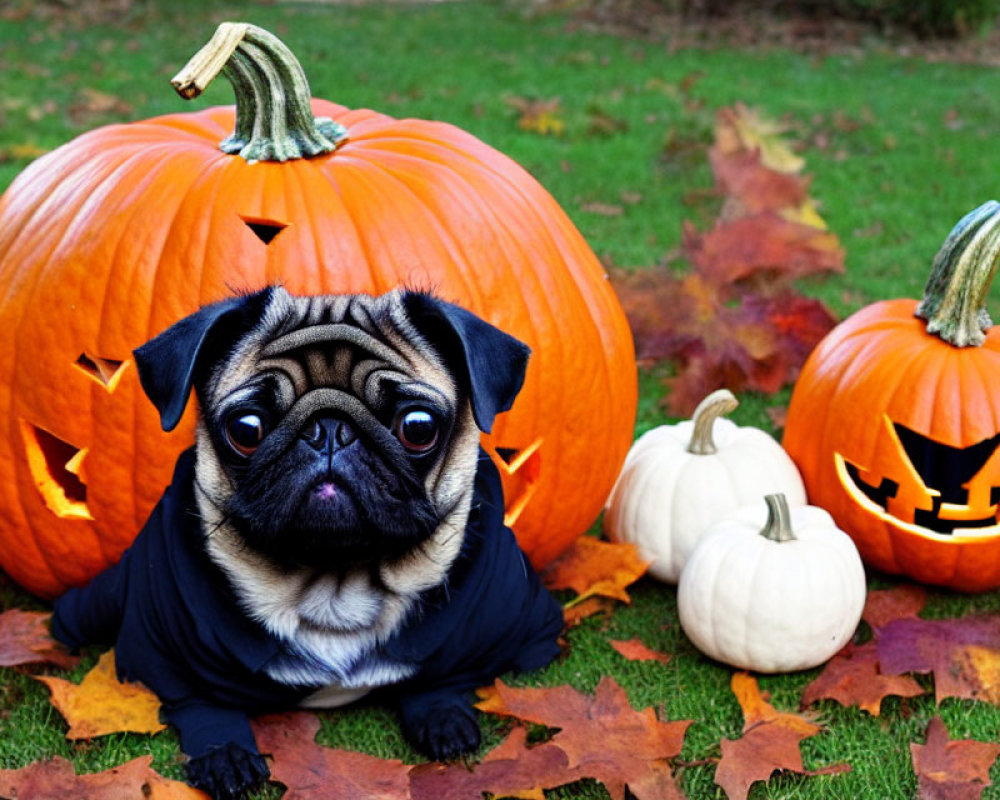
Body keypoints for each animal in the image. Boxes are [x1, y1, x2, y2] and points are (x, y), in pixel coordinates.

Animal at [50, 288, 568, 800]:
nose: (330, 430)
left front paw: (442, 715)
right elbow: (198, 699)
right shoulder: (161, 651)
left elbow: (443, 675)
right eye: (247, 429)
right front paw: (224, 752)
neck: (335, 585)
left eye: (418, 427)